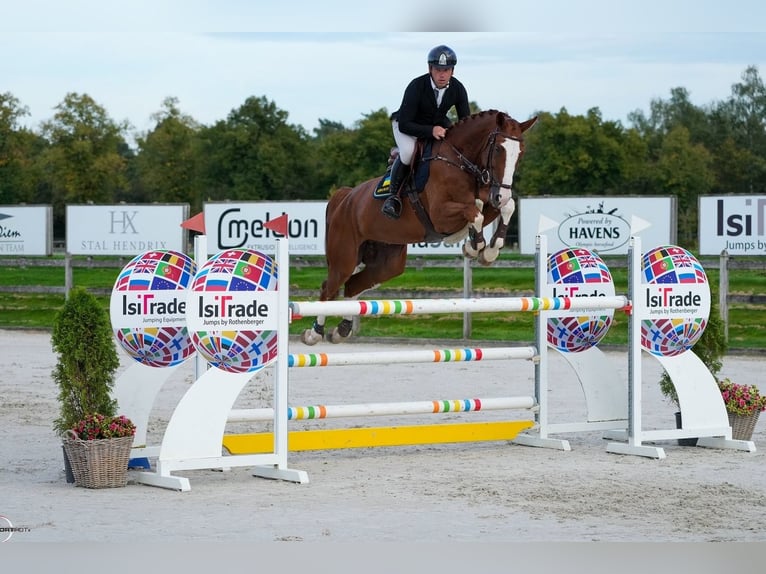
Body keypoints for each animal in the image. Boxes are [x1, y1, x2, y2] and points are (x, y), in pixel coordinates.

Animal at [302, 111, 540, 346]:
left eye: (520, 153)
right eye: (499, 148)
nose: (502, 194)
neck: (461, 161)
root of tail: (345, 198)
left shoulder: (488, 197)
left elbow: (504, 207)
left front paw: (488, 250)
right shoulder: (440, 215)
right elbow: (475, 212)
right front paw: (475, 246)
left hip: (388, 263)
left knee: (352, 285)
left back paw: (341, 330)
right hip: (345, 256)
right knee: (330, 287)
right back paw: (314, 333)